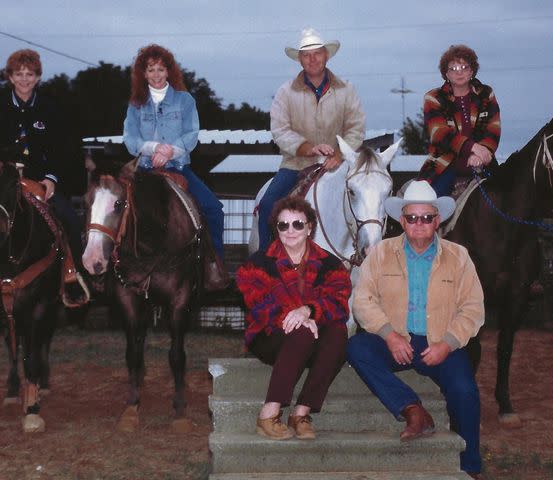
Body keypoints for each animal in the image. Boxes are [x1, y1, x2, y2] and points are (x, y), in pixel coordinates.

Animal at [82, 164, 203, 432]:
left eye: (118, 204)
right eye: (86, 202)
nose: (92, 260)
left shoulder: (179, 300)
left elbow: (176, 356)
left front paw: (180, 410)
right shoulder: (128, 297)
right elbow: (133, 353)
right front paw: (132, 406)